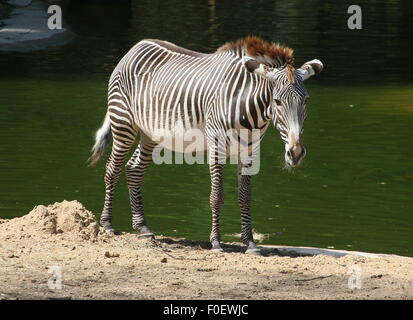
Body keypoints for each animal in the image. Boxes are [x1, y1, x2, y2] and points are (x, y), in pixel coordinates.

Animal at [89, 35, 322, 255]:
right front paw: (216, 242)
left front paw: (250, 243)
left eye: (306, 100)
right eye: (278, 102)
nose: (296, 153)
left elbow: (245, 197)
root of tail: (137, 45)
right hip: (124, 123)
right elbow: (216, 196)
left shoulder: (250, 151)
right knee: (112, 169)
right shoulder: (216, 145)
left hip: (150, 133)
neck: (248, 108)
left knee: (134, 169)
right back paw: (107, 223)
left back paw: (142, 227)